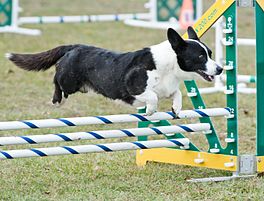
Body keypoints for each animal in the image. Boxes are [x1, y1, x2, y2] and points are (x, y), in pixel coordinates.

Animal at [6, 25, 223, 115]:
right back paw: (57, 100)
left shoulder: (169, 88)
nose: (220, 69)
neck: (168, 66)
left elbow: (177, 93)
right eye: (201, 57)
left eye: (210, 53)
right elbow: (152, 97)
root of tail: (73, 47)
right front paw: (150, 111)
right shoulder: (134, 88)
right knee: (57, 81)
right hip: (69, 81)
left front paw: (176, 109)